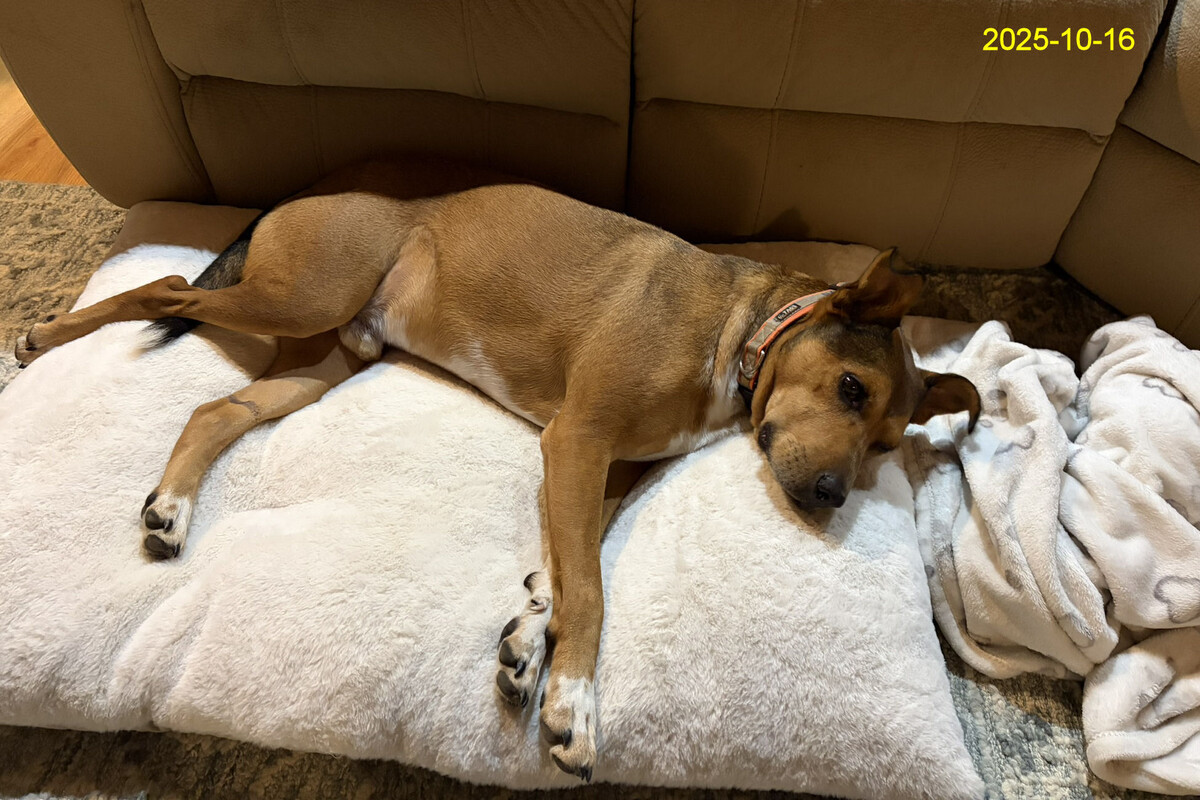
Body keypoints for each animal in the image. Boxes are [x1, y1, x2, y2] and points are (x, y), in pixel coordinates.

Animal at [14, 158, 979, 780]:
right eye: (850, 388)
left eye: (885, 444)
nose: (827, 499)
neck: (738, 336)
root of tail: (320, 196)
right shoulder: (577, 442)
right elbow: (593, 588)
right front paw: (575, 705)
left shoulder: (603, 470)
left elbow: (568, 565)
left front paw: (528, 638)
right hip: (302, 293)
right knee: (165, 291)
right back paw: (48, 333)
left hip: (323, 357)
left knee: (216, 409)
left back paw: (171, 508)